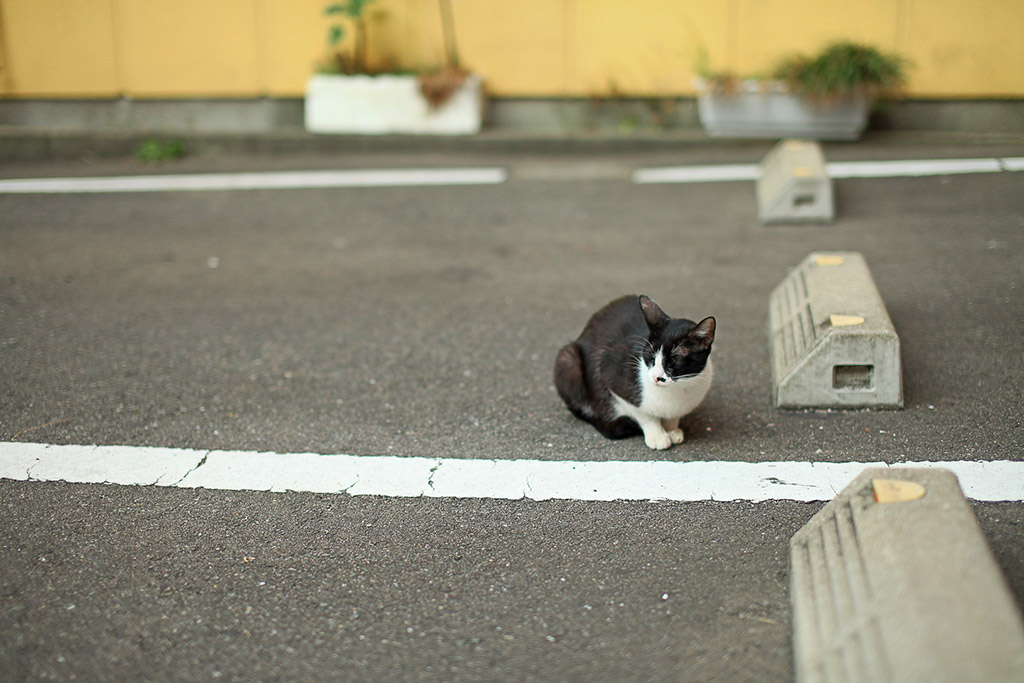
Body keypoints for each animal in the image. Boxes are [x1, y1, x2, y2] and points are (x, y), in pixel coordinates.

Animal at [557, 294, 716, 448]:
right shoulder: (612, 376)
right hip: (568, 362)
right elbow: (644, 414)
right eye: (650, 356)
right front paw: (657, 436)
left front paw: (671, 429)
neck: (679, 387)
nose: (656, 377)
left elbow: (673, 416)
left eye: (675, 359)